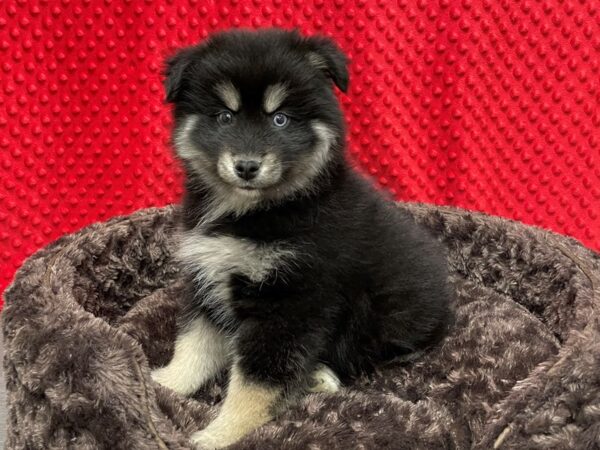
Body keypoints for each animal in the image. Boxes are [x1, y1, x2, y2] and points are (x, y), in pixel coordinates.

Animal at [152, 29, 452, 450]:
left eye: (280, 119)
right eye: (224, 116)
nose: (247, 166)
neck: (255, 211)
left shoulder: (290, 303)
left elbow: (255, 381)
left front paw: (222, 433)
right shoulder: (208, 277)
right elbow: (194, 345)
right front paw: (165, 382)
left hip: (392, 313)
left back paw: (322, 375)